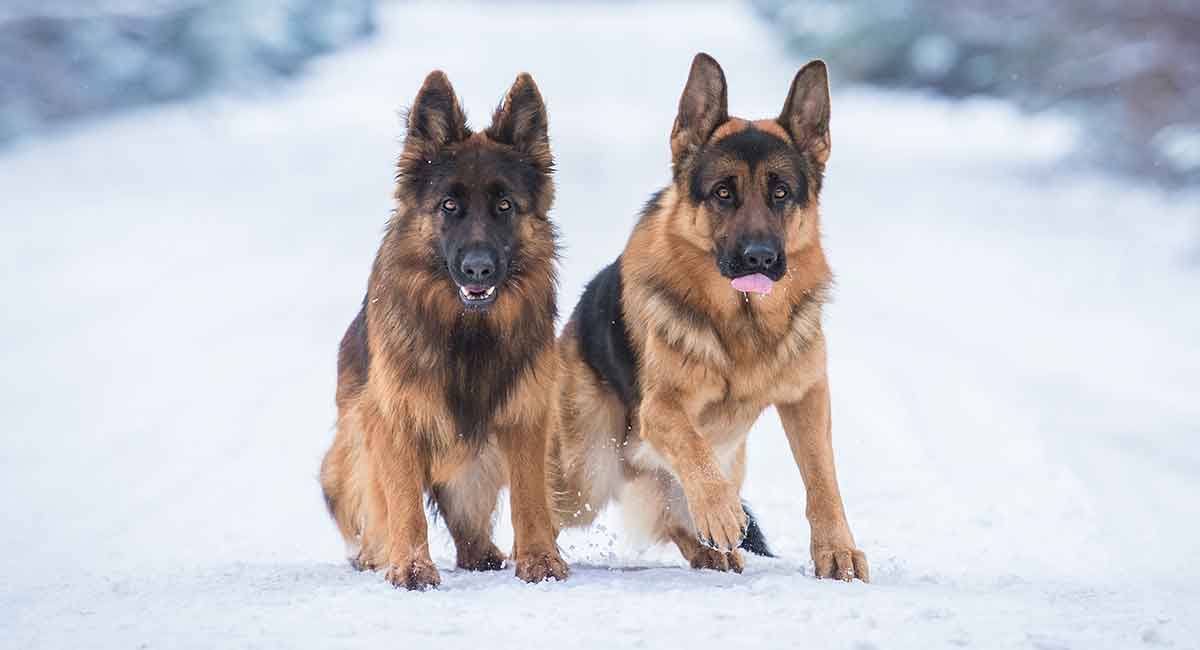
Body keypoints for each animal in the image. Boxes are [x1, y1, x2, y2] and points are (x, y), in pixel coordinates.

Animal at [321, 70, 568, 590]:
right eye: (449, 205)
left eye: (504, 205)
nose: (477, 269)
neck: (467, 333)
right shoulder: (392, 417)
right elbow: (404, 503)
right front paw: (411, 567)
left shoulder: (527, 413)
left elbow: (530, 495)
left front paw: (540, 560)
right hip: (349, 451)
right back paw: (378, 555)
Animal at [549, 54, 868, 580]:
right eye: (722, 193)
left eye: (781, 193)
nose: (759, 258)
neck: (746, 327)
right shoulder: (660, 409)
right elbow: (694, 452)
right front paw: (719, 511)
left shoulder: (807, 397)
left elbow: (823, 479)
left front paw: (836, 551)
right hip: (584, 473)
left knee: (674, 516)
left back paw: (713, 553)